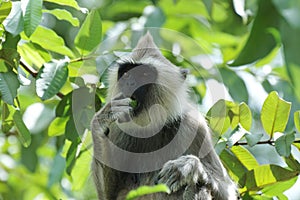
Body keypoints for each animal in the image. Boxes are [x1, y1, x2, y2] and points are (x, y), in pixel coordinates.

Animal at [91, 32, 239, 199]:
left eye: (144, 74)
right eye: (127, 74)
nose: (130, 83)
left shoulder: (194, 125)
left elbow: (227, 191)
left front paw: (188, 167)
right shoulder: (118, 127)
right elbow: (107, 195)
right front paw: (103, 118)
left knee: (198, 186)